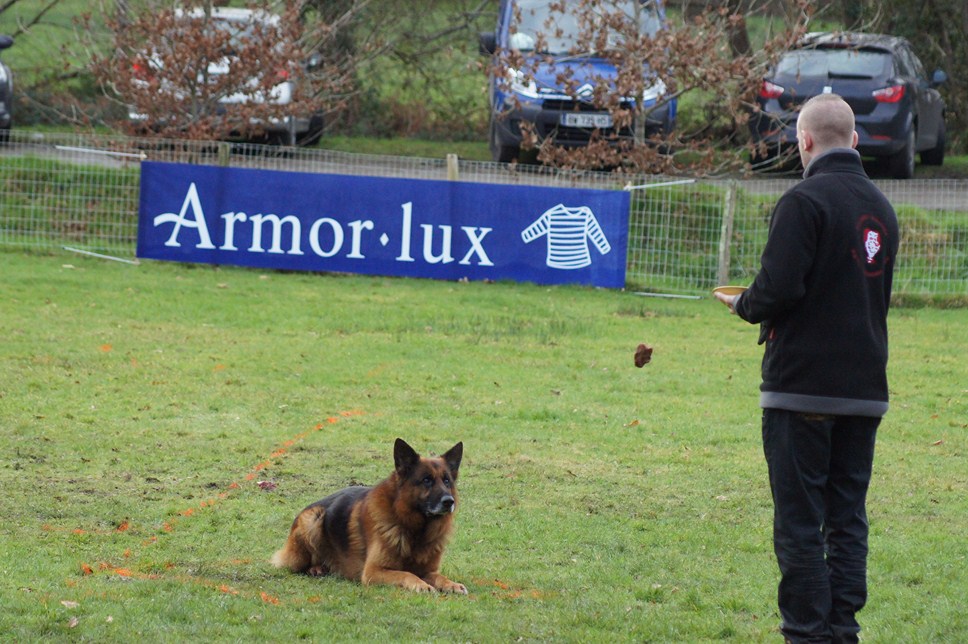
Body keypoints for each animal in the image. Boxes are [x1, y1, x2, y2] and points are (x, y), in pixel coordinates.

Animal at [270, 438, 466, 592]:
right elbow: (406, 573)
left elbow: (439, 577)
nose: (449, 502)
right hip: (313, 519)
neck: (416, 531)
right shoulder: (373, 571)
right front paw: (421, 585)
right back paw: (315, 569)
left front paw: (451, 584)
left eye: (446, 480)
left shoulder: (429, 571)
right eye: (426, 480)